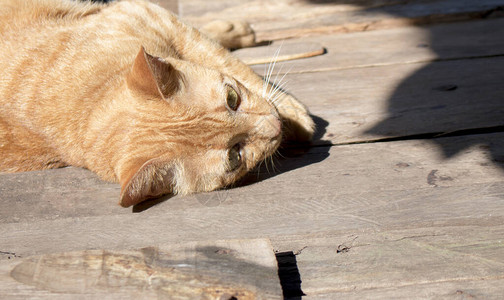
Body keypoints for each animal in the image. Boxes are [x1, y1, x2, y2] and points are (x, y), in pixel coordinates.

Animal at [0, 0, 316, 206]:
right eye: (234, 156)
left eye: (232, 98)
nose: (275, 125)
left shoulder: (147, 13)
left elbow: (225, 59)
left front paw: (292, 114)